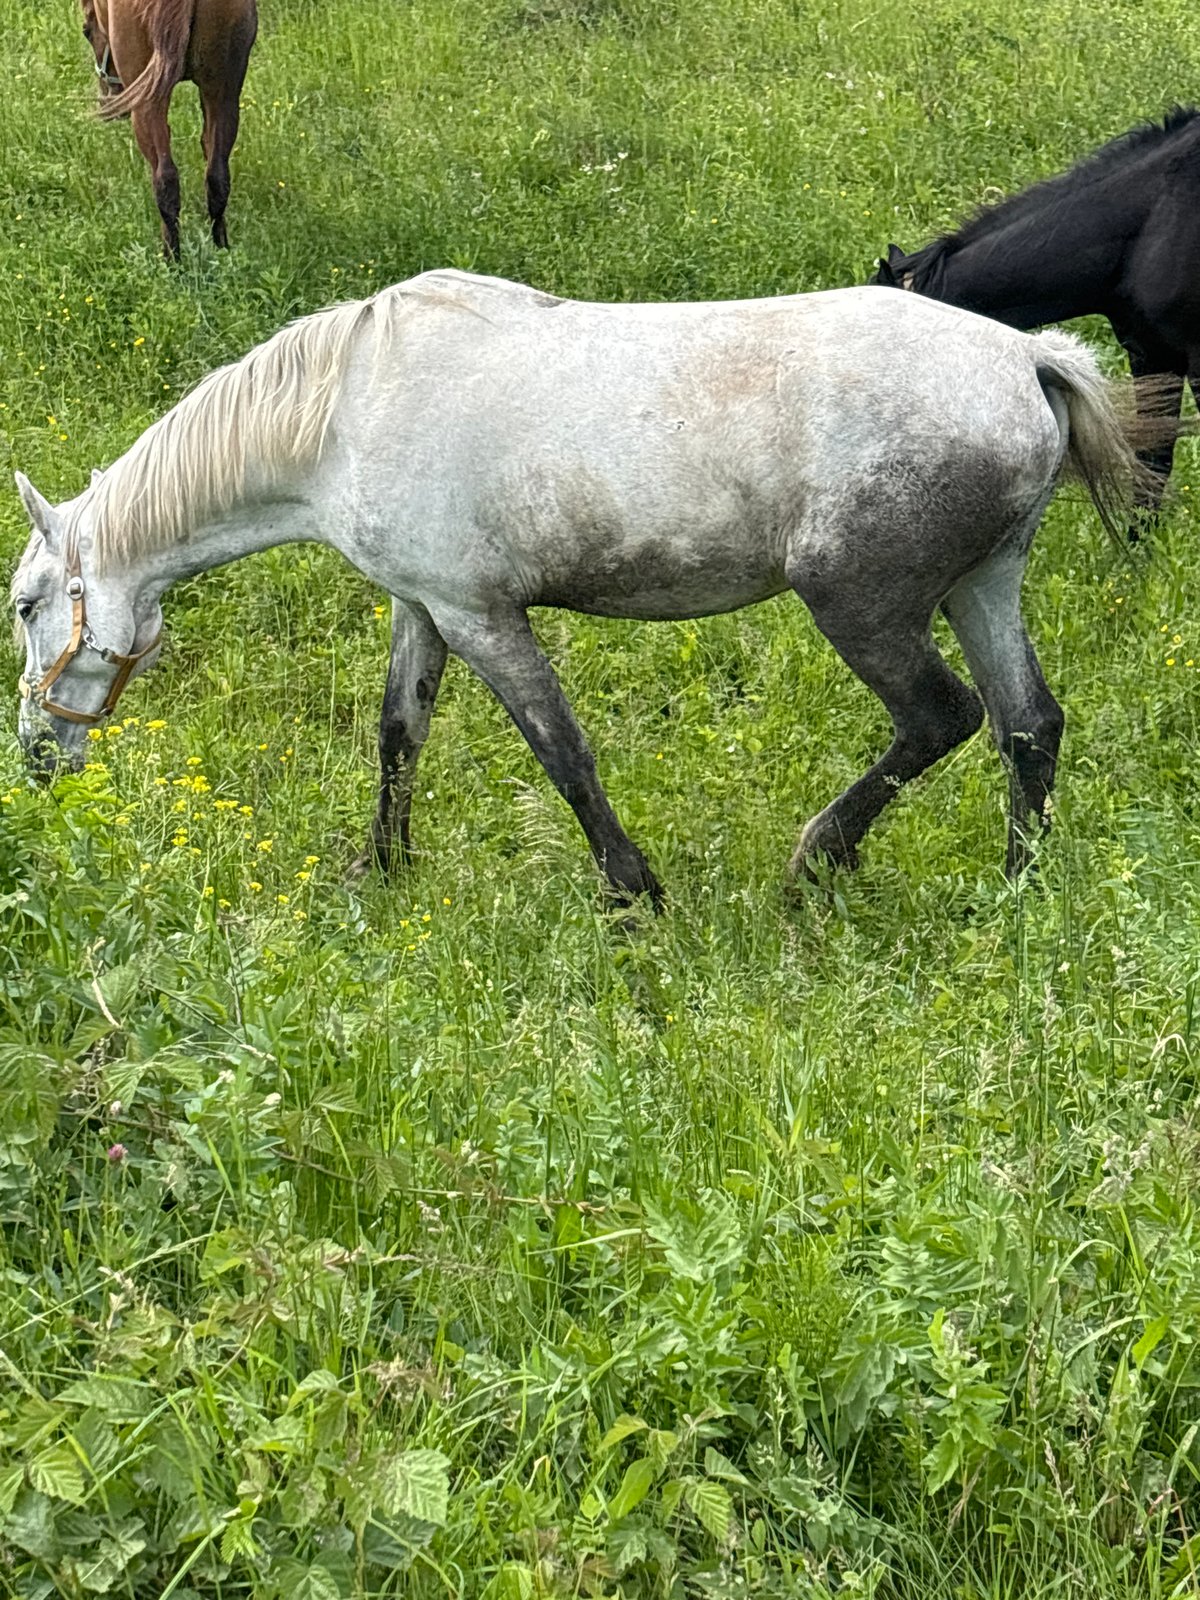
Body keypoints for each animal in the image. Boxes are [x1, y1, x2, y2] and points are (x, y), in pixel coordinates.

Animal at [10, 271, 1146, 904]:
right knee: (1028, 724)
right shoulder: (422, 607)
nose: (34, 758)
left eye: (24, 605)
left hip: (859, 604)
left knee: (942, 717)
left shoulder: (480, 616)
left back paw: (819, 858)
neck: (346, 405)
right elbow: (397, 735)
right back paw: (1015, 889)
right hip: (982, 586)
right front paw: (383, 870)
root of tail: (1027, 358)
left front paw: (634, 893)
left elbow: (563, 754)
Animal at [80, 0, 258, 257]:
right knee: (217, 176)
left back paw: (171, 258)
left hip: (148, 105)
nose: (106, 99)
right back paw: (221, 250)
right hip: (224, 94)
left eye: (86, 31)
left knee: (165, 179)